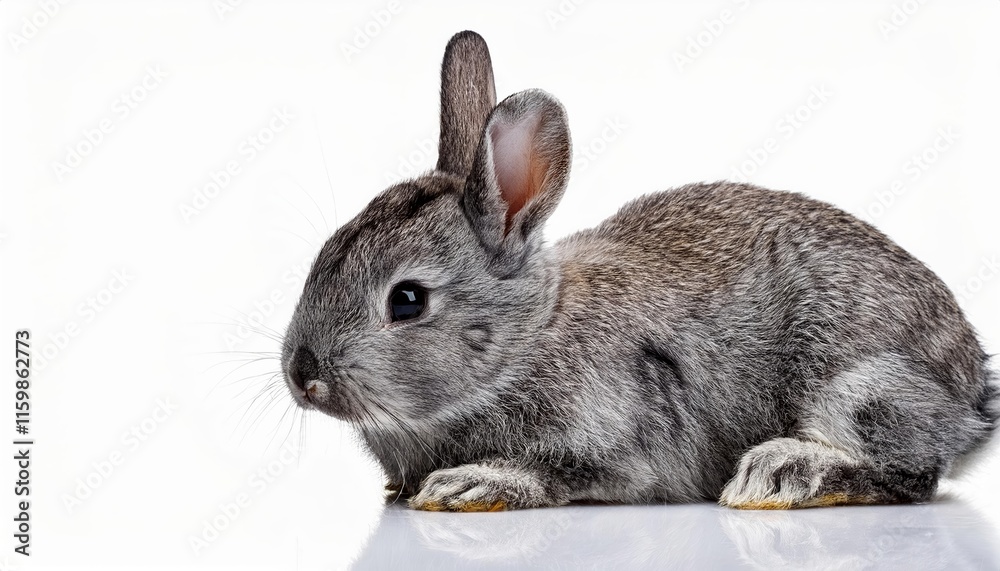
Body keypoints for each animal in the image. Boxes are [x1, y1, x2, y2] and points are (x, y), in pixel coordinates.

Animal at [281, 30, 998, 512]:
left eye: (406, 300)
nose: (302, 376)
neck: (526, 341)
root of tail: (971, 393)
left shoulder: (620, 441)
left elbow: (563, 472)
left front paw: (472, 483)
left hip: (857, 387)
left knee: (911, 471)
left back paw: (783, 473)